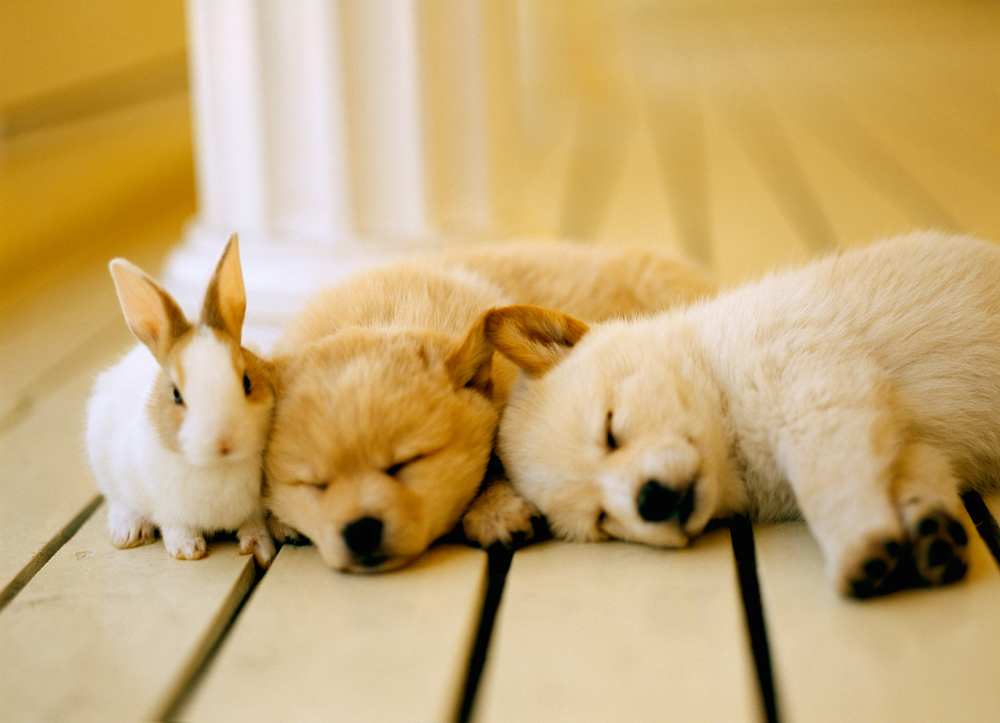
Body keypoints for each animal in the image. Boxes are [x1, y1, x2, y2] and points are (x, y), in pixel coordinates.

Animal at [86, 234, 277, 566]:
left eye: (247, 382)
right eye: (176, 395)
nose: (223, 441)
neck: (217, 466)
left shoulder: (254, 508)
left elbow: (253, 524)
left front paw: (260, 549)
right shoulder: (168, 508)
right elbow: (176, 526)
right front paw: (186, 550)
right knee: (118, 499)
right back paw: (128, 532)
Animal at [264, 241, 714, 572]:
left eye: (407, 463)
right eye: (312, 484)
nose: (359, 531)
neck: (380, 316)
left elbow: (496, 463)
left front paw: (495, 510)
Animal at [487, 232, 1000, 597]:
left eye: (610, 430)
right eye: (601, 520)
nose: (649, 501)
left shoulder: (820, 394)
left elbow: (830, 485)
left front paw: (859, 548)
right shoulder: (904, 437)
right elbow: (912, 474)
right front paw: (931, 531)